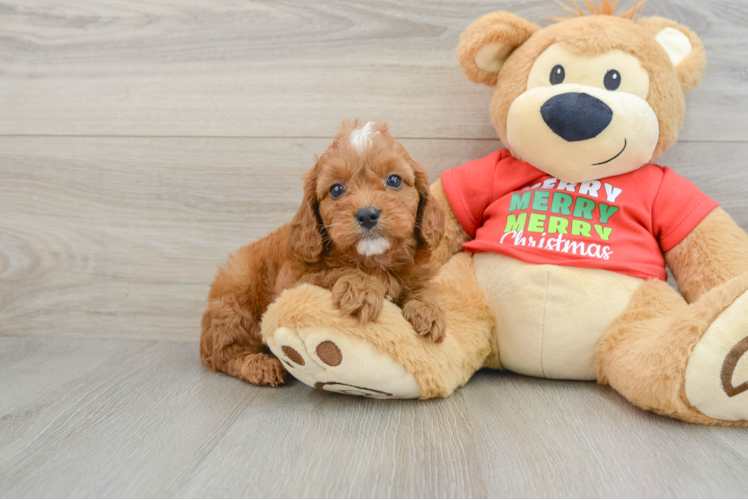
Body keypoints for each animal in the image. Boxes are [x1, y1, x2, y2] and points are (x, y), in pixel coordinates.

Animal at [199, 121, 444, 386]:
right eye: (336, 189)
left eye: (395, 180)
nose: (367, 214)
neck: (373, 260)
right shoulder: (292, 282)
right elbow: (331, 271)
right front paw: (362, 289)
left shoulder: (416, 272)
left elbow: (422, 286)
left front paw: (430, 311)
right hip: (235, 302)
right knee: (220, 353)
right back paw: (258, 365)